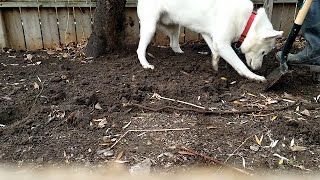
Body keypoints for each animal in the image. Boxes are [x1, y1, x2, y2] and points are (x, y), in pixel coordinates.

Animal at [135, 0, 282, 81]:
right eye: (263, 53)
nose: (258, 68)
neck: (247, 22)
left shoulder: (209, 34)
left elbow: (214, 49)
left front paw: (215, 64)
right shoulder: (222, 43)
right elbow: (240, 65)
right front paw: (254, 77)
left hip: (175, 26)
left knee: (173, 43)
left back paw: (180, 53)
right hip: (150, 27)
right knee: (140, 49)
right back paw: (145, 64)